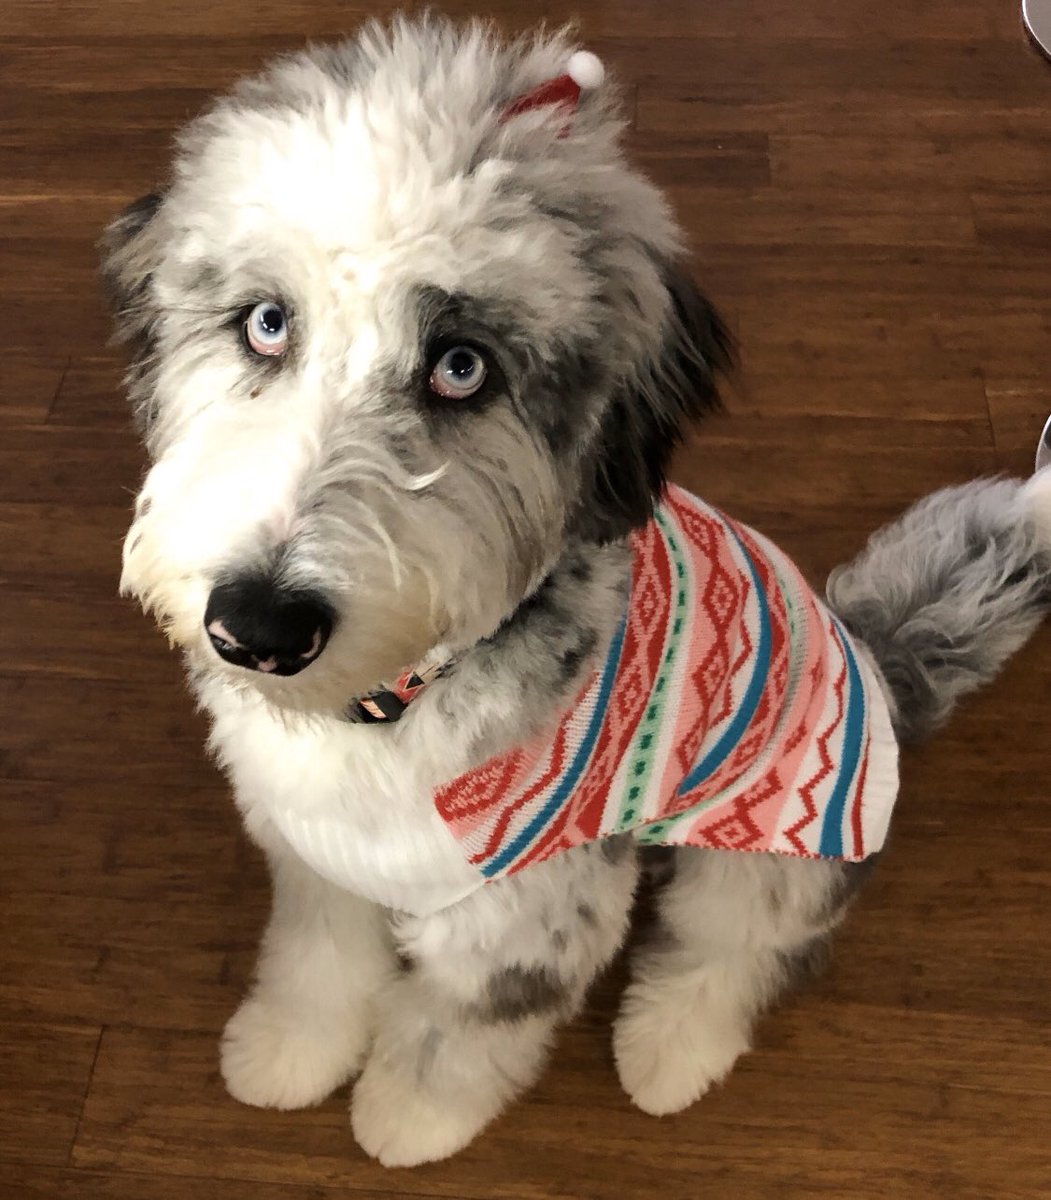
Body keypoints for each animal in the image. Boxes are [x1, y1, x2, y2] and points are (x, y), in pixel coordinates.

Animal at [104, 14, 1051, 1166]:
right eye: (267, 323)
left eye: (461, 366)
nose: (257, 625)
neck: (394, 704)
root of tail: (877, 655)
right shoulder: (317, 858)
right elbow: (318, 958)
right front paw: (289, 1050)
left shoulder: (527, 913)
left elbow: (458, 1031)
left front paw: (408, 1118)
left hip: (781, 842)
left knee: (736, 951)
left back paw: (669, 1054)